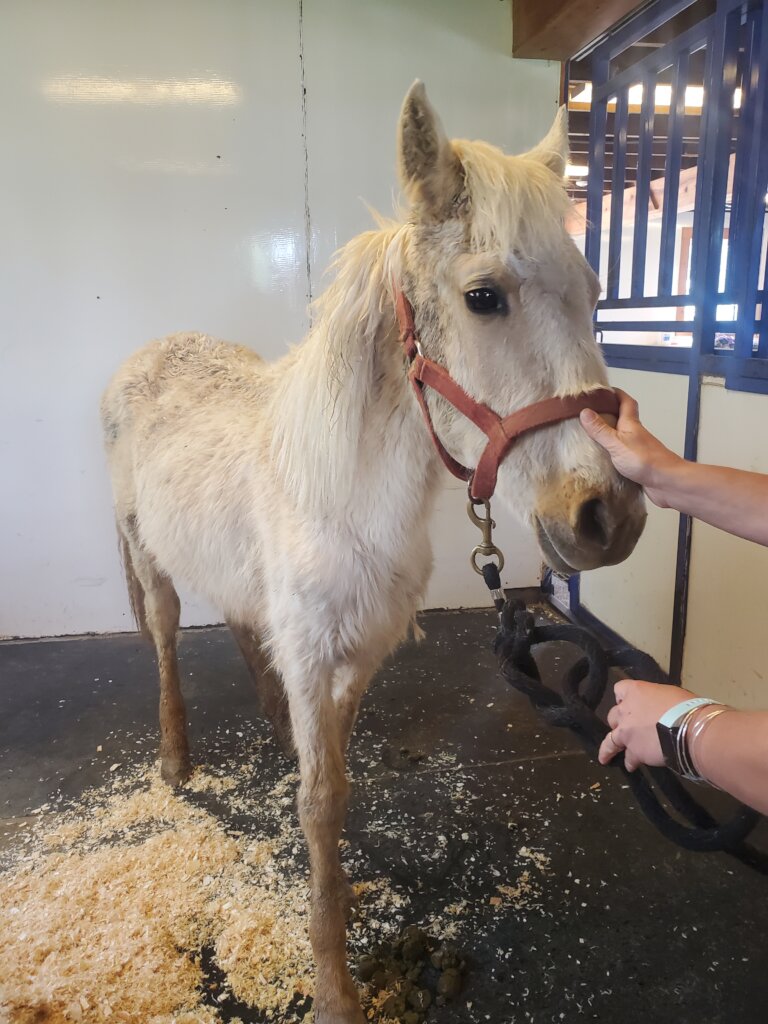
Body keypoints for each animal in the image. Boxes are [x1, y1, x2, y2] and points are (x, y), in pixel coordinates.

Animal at [101, 81, 646, 1023]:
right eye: (483, 296)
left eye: (592, 290)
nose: (606, 516)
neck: (336, 490)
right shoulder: (317, 651)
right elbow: (321, 803)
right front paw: (334, 987)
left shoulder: (353, 655)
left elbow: (338, 784)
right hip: (150, 557)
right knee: (167, 638)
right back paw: (175, 761)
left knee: (241, 626)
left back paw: (271, 723)